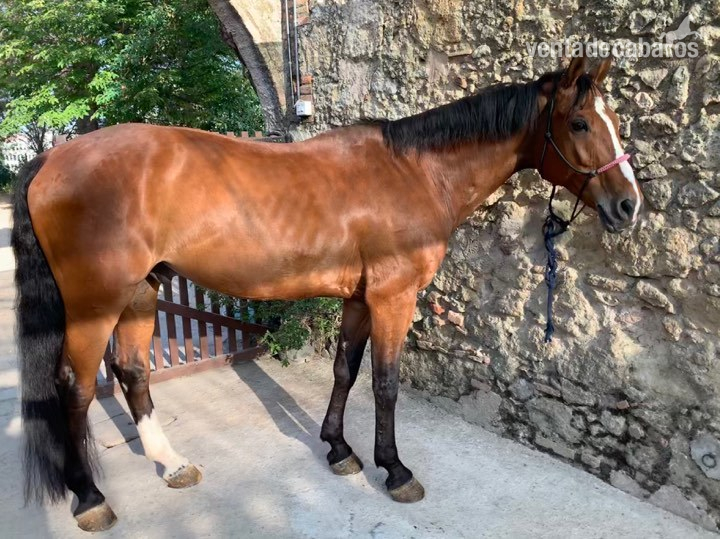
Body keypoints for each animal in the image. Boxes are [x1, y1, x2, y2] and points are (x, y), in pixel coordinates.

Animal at [12, 54, 642, 531]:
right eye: (580, 124)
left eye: (614, 118)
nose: (628, 206)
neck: (416, 172)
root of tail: (50, 157)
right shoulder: (393, 297)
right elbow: (385, 383)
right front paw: (395, 471)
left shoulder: (360, 298)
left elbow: (346, 368)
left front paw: (339, 450)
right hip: (94, 305)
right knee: (74, 387)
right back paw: (90, 499)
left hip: (142, 293)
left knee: (132, 371)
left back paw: (171, 465)